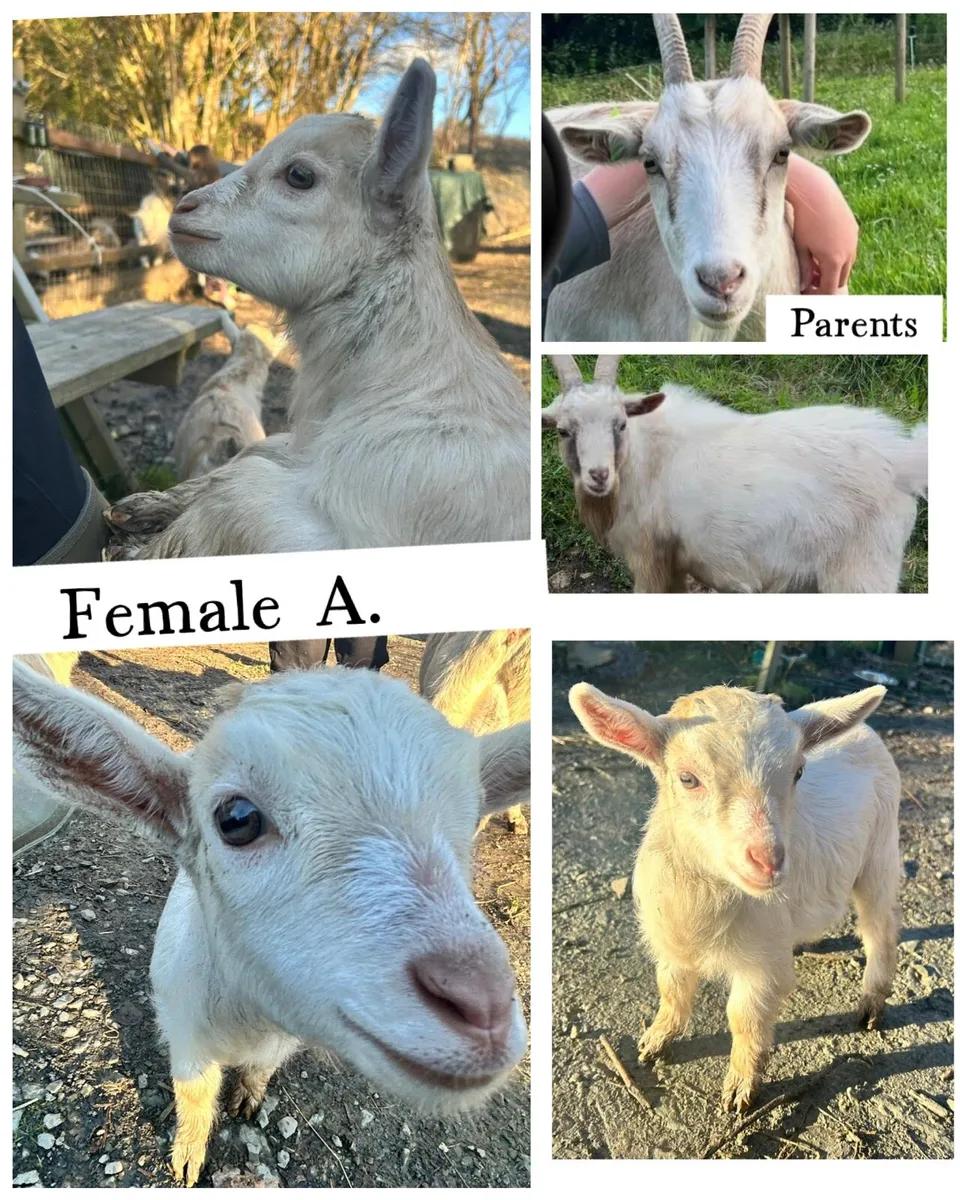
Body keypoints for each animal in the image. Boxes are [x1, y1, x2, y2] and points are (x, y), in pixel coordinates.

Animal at [13, 660, 530, 1187]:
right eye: (236, 818)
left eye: (471, 822)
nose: (483, 1008)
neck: (246, 1018)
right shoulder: (183, 1033)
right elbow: (193, 1092)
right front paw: (187, 1155)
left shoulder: (280, 1038)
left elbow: (260, 1070)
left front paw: (247, 1096)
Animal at [542, 355, 927, 593]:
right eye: (563, 431)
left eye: (620, 424)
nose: (598, 475)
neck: (644, 459)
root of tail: (904, 458)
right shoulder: (674, 564)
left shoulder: (649, 557)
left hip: (861, 572)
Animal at [569, 680, 901, 1112]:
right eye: (688, 779)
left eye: (798, 772)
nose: (769, 860)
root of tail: (867, 731)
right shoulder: (671, 942)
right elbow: (671, 989)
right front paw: (656, 1041)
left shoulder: (761, 965)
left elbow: (745, 1018)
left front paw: (741, 1088)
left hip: (880, 853)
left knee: (880, 927)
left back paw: (872, 1003)